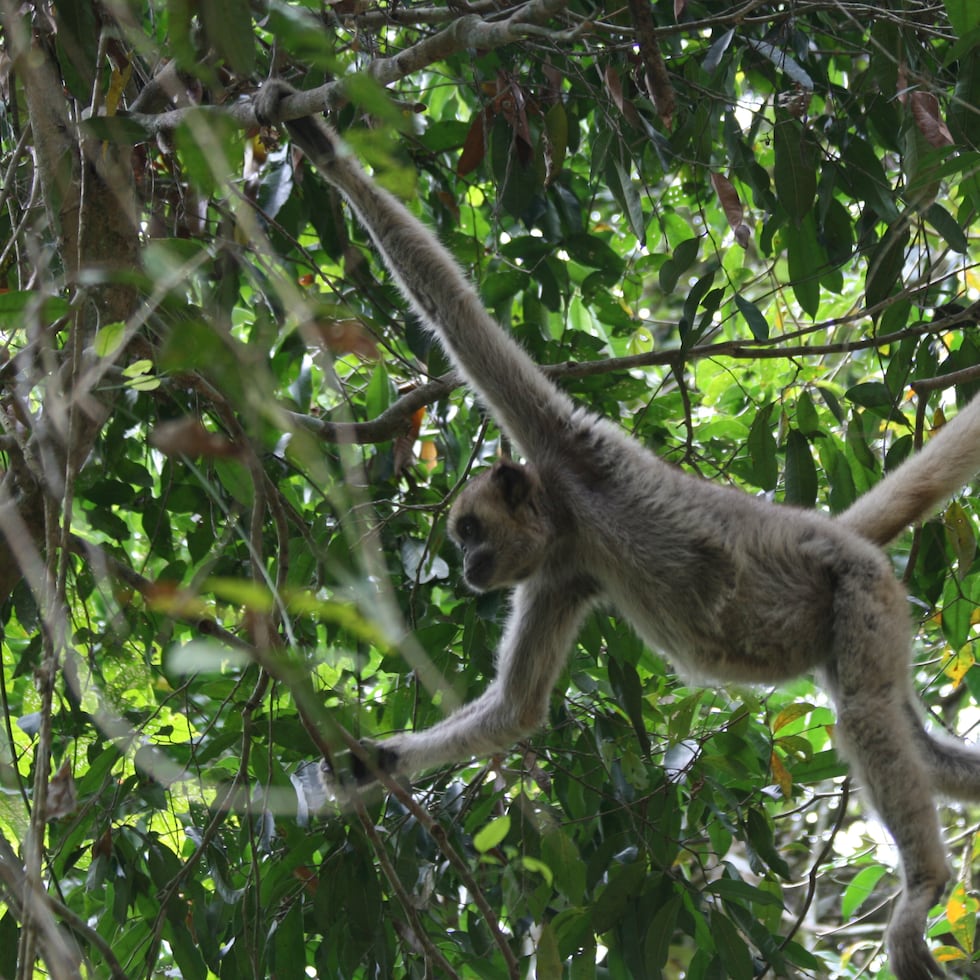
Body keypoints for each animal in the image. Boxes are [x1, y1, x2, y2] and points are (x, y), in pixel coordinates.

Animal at [256, 84, 980, 980]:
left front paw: (319, 145)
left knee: (871, 717)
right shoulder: (561, 575)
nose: (466, 570)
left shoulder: (569, 445)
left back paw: (926, 888)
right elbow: (516, 710)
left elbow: (455, 310)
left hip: (858, 593)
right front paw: (374, 764)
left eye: (468, 532)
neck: (573, 518)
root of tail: (832, 533)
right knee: (919, 744)